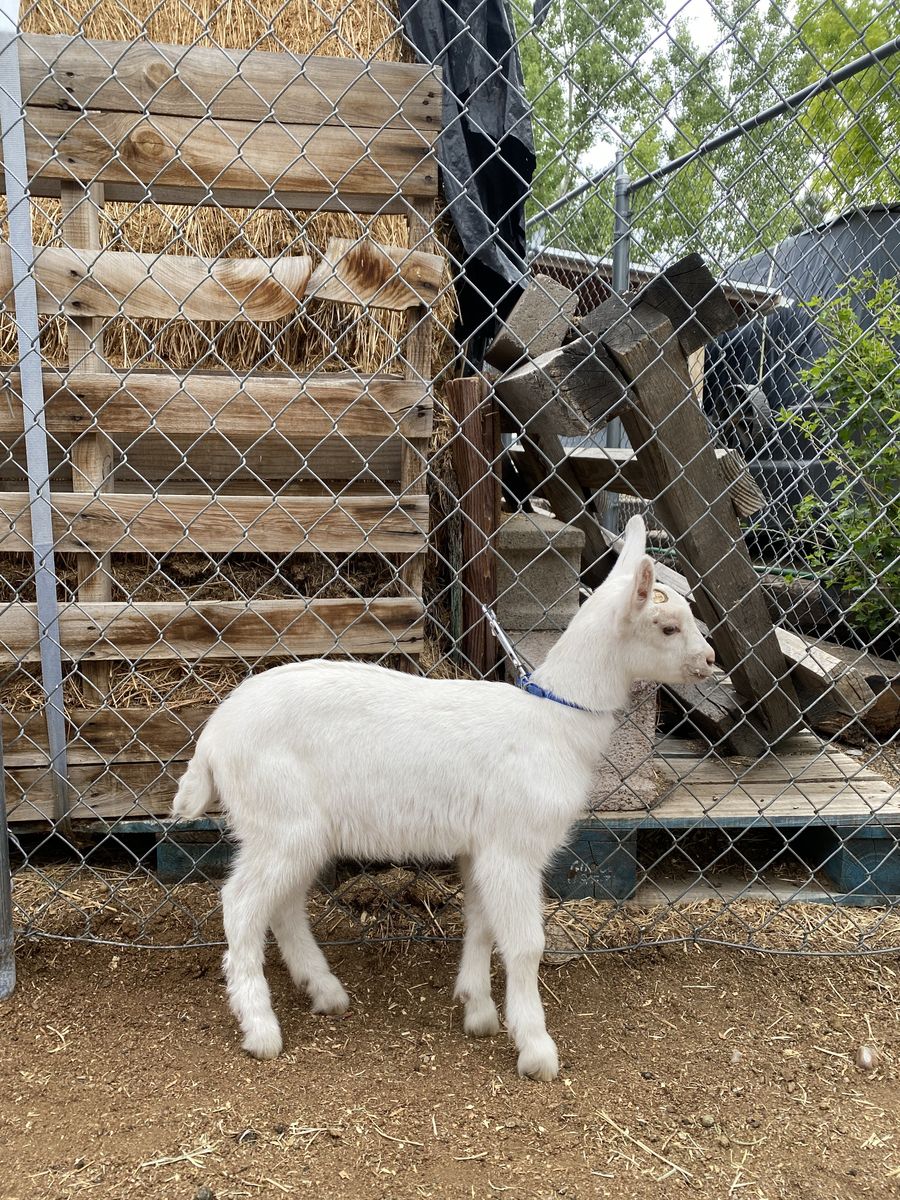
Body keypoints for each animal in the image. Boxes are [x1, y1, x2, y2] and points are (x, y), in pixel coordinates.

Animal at [171, 516, 715, 1080]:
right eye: (667, 627)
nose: (710, 660)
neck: (552, 721)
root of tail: (213, 737)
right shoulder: (512, 846)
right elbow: (525, 945)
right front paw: (536, 1049)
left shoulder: (479, 845)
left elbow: (480, 925)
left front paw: (479, 1011)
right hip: (281, 822)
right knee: (240, 905)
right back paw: (260, 1029)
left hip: (294, 832)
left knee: (283, 908)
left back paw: (325, 992)